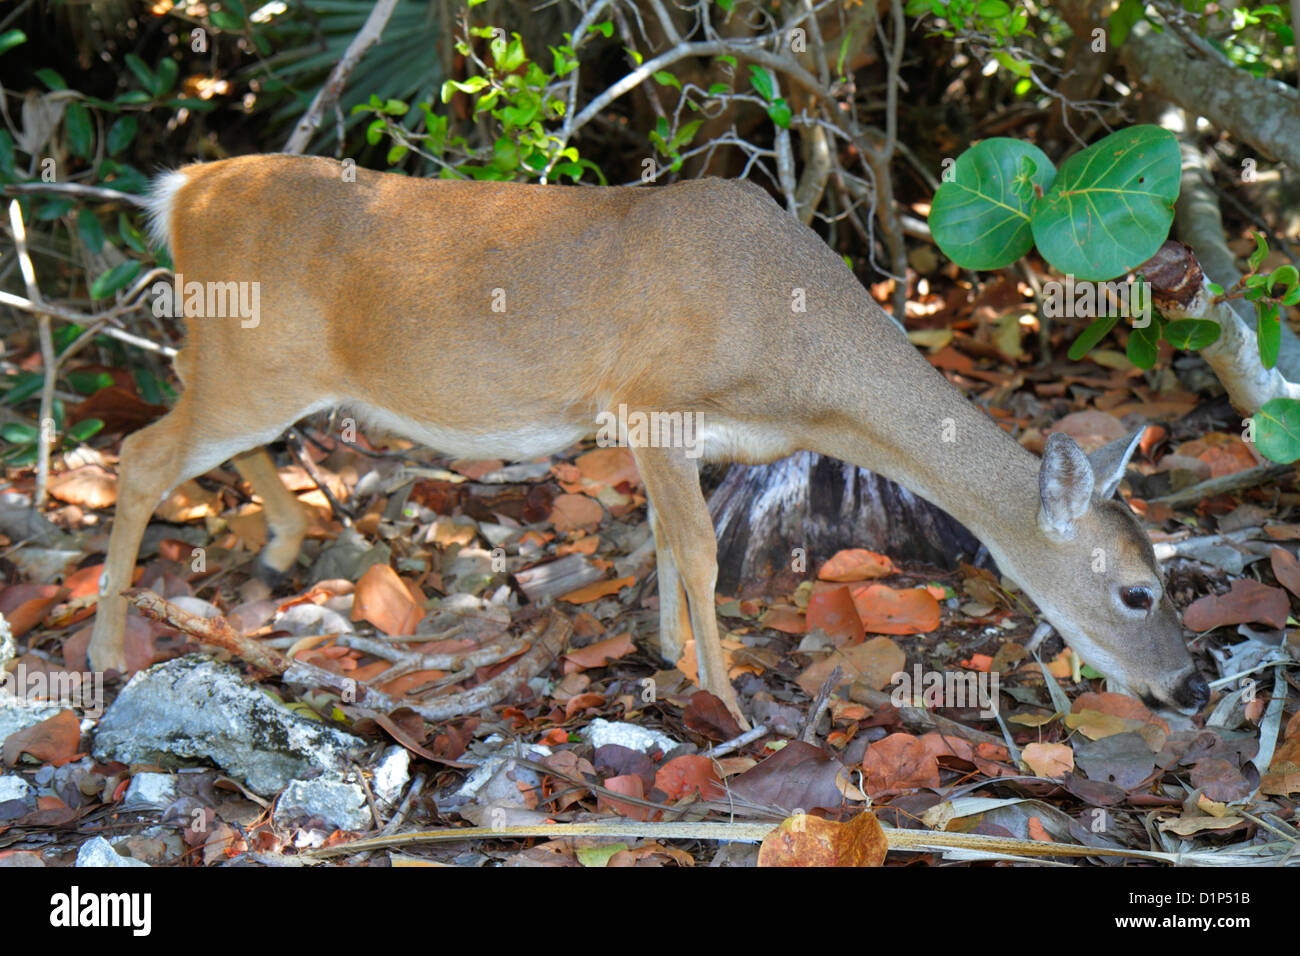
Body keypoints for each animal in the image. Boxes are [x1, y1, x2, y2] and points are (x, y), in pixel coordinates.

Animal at [86, 157, 1211, 728]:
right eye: (1136, 591)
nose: (1188, 686)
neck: (797, 356)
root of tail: (180, 190)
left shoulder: (658, 425)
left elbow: (673, 541)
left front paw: (668, 653)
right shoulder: (656, 399)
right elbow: (703, 549)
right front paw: (724, 696)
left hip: (247, 365)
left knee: (196, 436)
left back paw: (278, 547)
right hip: (253, 357)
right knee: (141, 458)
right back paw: (102, 654)